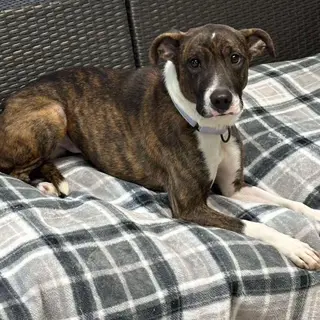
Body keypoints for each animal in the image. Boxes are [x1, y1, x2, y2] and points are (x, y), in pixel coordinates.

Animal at [0, 25, 320, 268]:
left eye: (235, 57)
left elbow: (288, 202)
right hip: (53, 111)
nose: (221, 100)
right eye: (194, 62)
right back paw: (45, 187)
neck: (207, 126)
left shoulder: (234, 189)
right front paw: (294, 246)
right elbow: (251, 224)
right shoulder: (189, 207)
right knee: (15, 170)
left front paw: (315, 214)